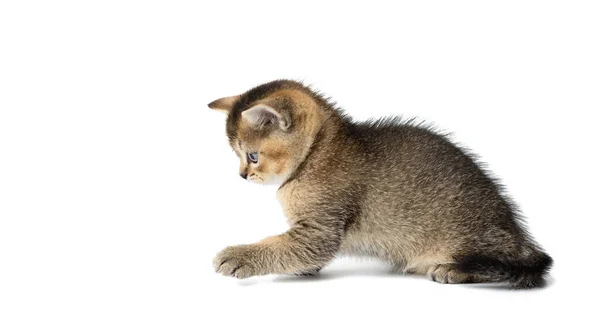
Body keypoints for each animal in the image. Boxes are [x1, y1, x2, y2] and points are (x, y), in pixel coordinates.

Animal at [207, 79, 552, 290]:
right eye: (237, 155)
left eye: (252, 156)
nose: (242, 175)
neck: (317, 153)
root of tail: (516, 231)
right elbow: (293, 252)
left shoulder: (319, 231)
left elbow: (287, 247)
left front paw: (239, 256)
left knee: (521, 264)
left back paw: (453, 270)